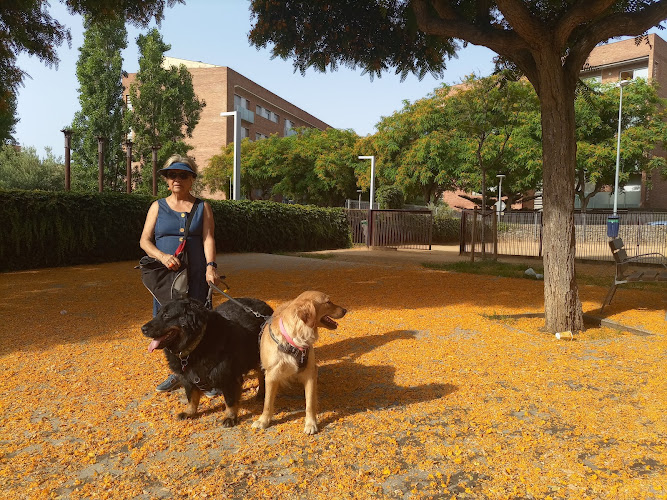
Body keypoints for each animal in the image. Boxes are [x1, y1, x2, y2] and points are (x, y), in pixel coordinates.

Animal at [142, 296, 272, 426]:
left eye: (166, 315)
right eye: (157, 314)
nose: (143, 329)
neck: (197, 343)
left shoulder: (227, 377)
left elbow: (230, 400)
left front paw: (230, 416)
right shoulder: (187, 378)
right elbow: (191, 397)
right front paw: (190, 412)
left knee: (262, 376)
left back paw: (261, 392)